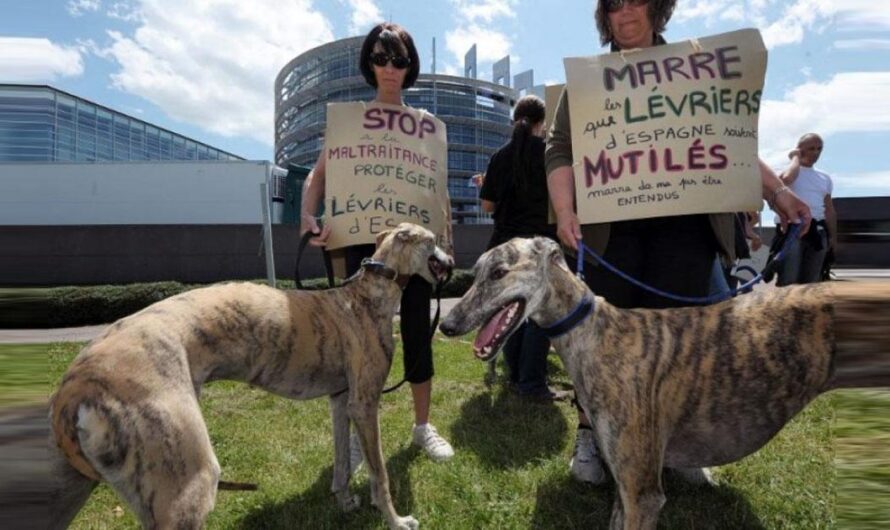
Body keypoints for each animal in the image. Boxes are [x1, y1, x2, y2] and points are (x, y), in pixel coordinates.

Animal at [48, 223, 450, 528]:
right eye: (433, 240)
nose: (452, 260)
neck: (367, 296)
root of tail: (76, 384)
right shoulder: (365, 404)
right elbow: (379, 474)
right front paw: (396, 521)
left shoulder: (341, 401)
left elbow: (341, 463)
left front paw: (345, 501)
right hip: (188, 478)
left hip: (145, 486)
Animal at [438, 236, 888, 528]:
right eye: (474, 273)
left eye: (499, 272)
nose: (445, 325)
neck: (596, 334)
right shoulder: (624, 485)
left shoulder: (643, 492)